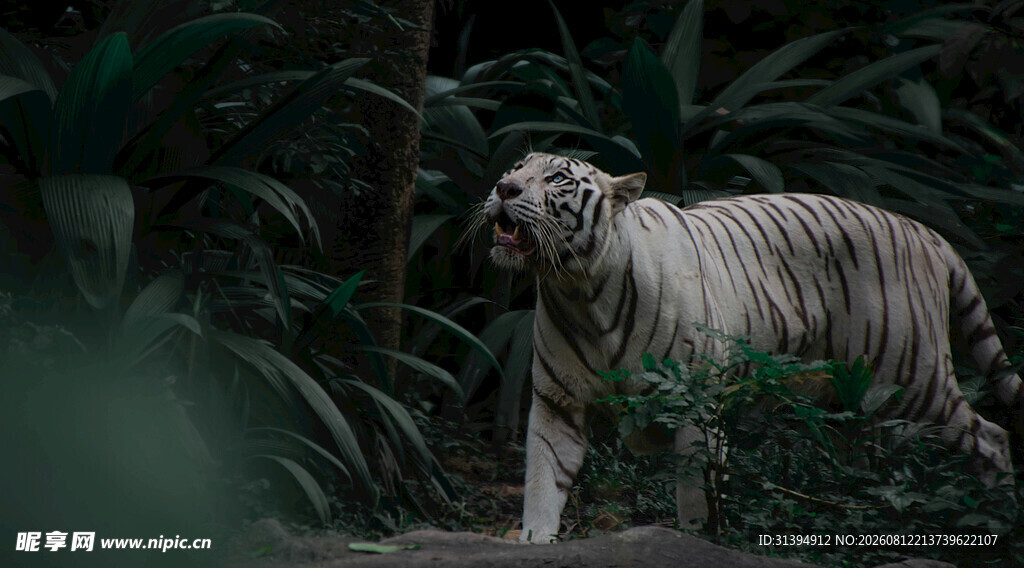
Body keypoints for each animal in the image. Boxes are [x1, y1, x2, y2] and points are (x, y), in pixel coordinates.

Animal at [465, 152, 1023, 543]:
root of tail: (926, 232)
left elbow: (697, 496)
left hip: (911, 379)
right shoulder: (557, 402)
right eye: (517, 167)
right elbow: (543, 483)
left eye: (557, 178)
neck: (579, 289)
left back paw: (996, 522)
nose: (503, 187)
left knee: (993, 435)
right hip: (853, 405)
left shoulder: (695, 407)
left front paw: (695, 543)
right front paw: (535, 542)